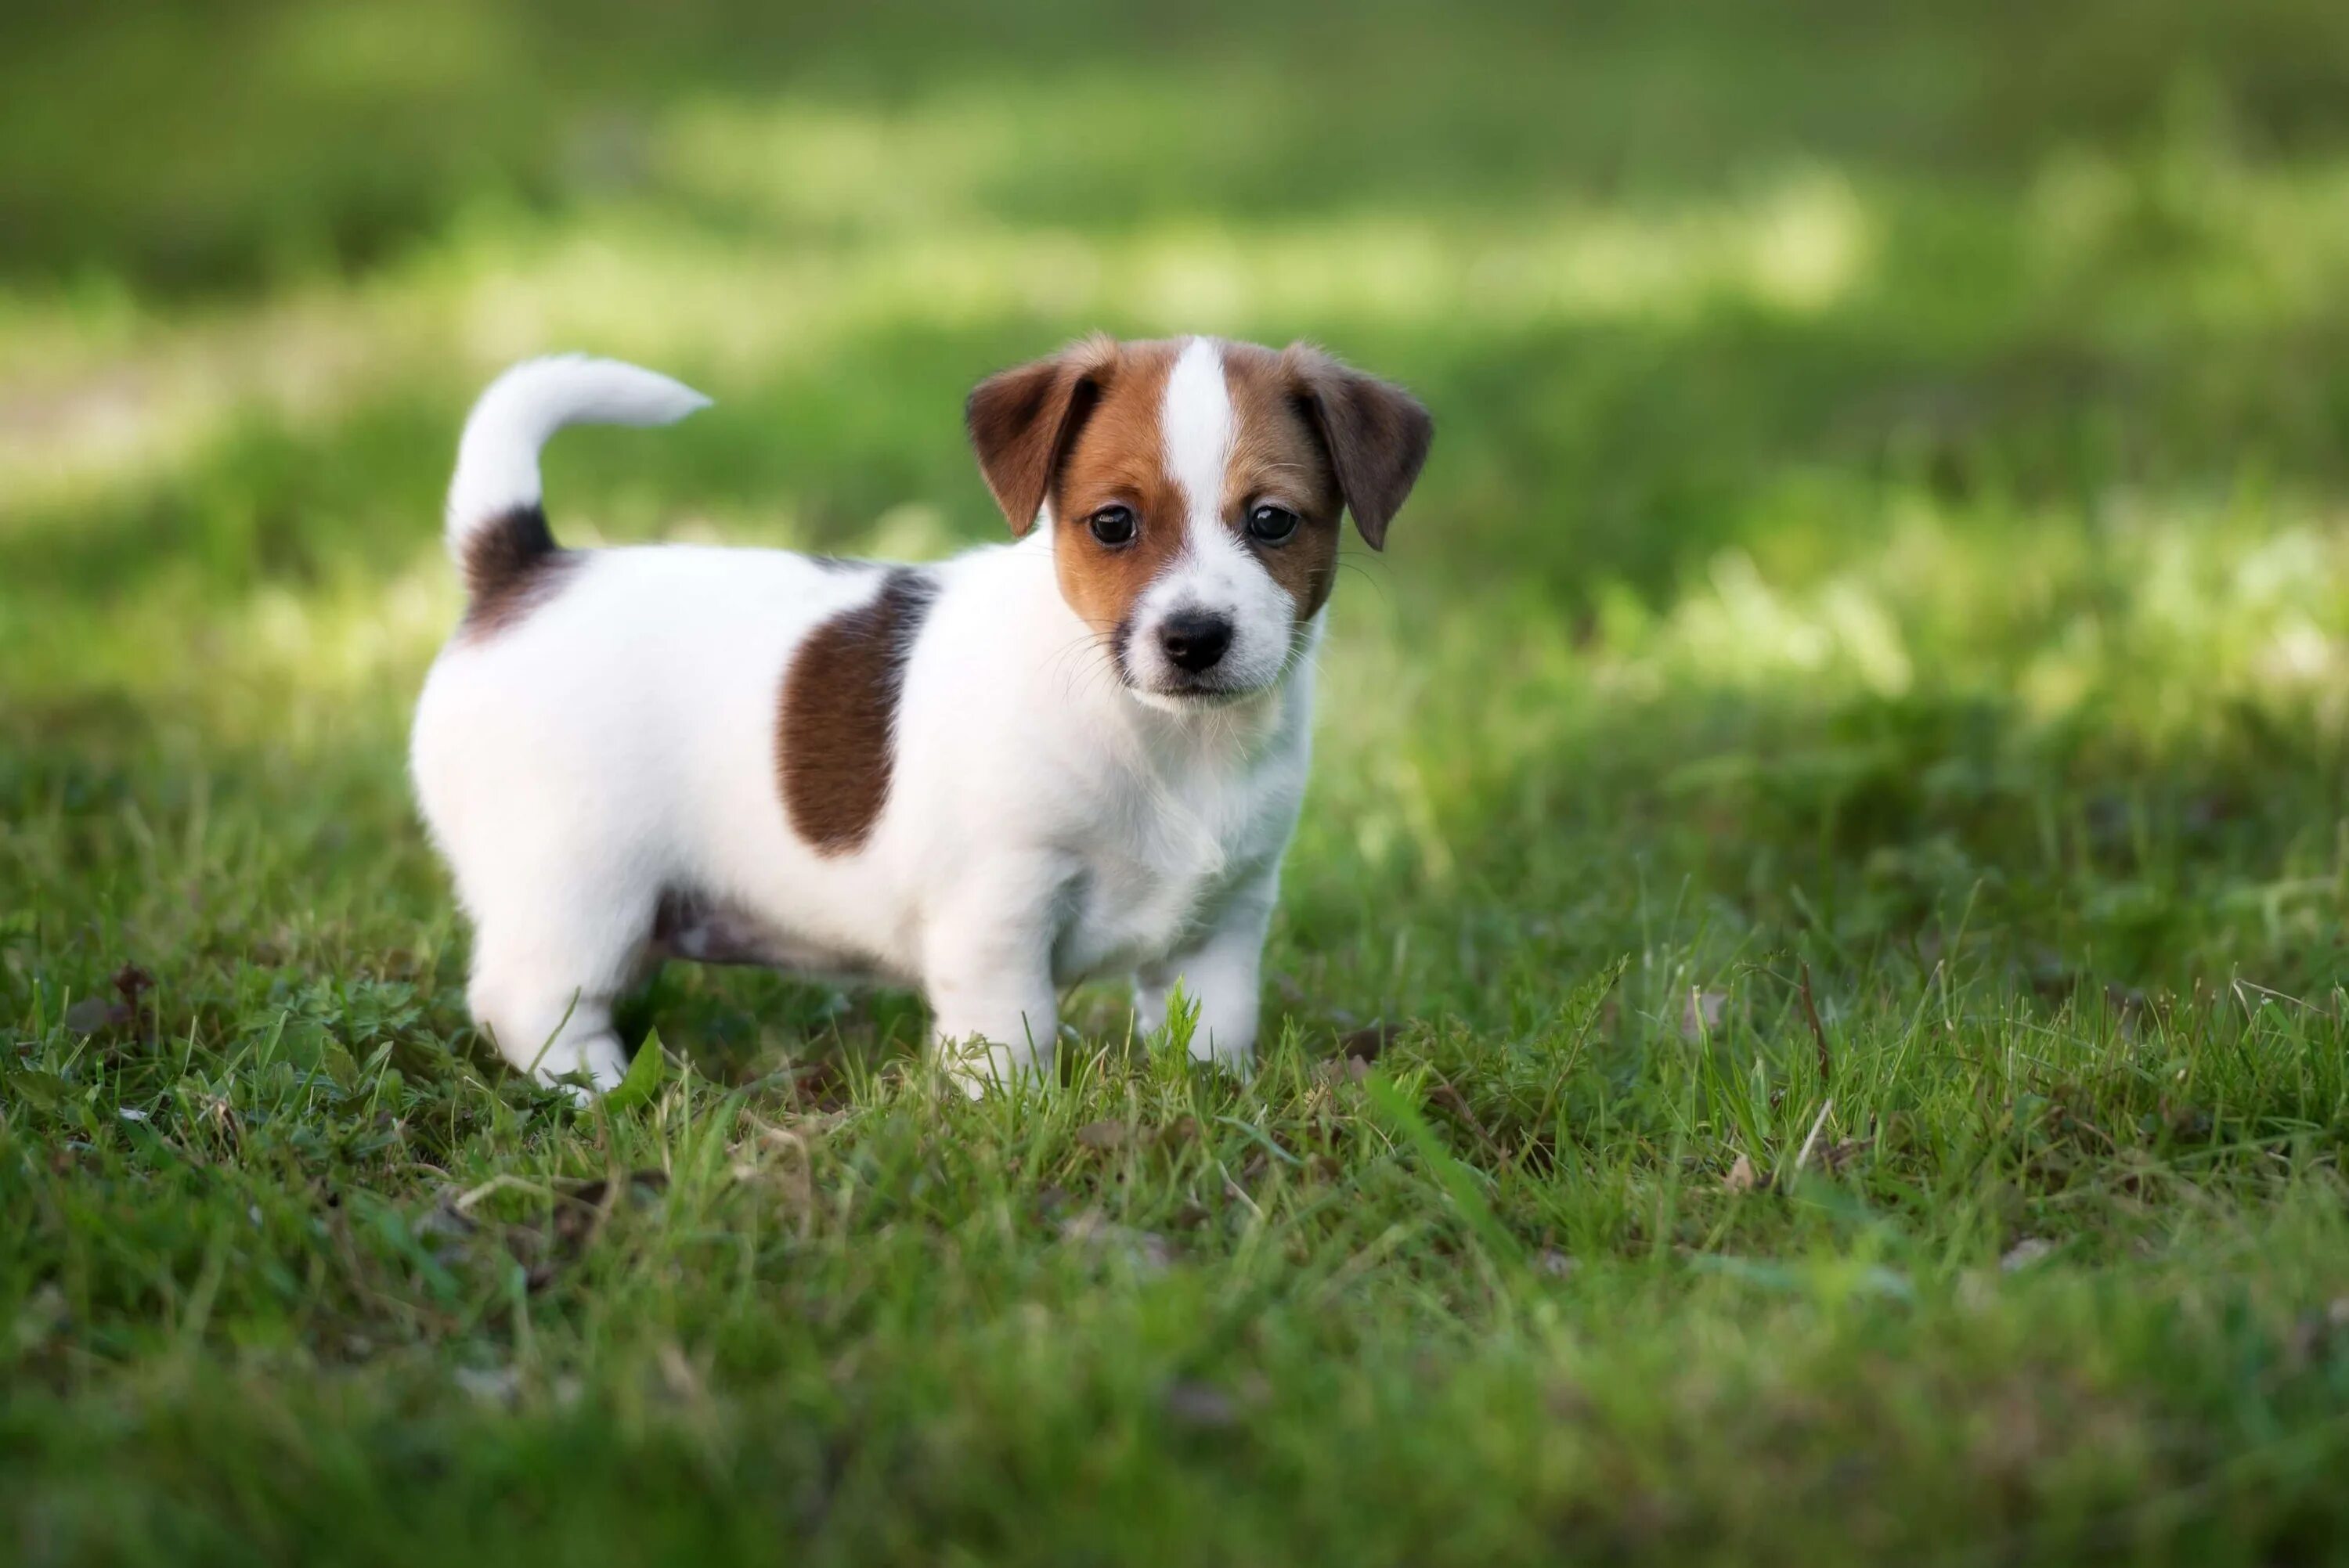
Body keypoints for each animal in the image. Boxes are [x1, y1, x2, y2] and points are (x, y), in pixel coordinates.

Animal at [411, 333, 1419, 1089]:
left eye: (1273, 521)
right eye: (1114, 524)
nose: (1195, 637)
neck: (1166, 738)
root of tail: (524, 567)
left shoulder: (1226, 921)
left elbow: (1213, 1032)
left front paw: (1212, 1102)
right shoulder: (999, 908)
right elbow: (1014, 1037)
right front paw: (1016, 1122)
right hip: (578, 886)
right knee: (527, 1001)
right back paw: (598, 1087)